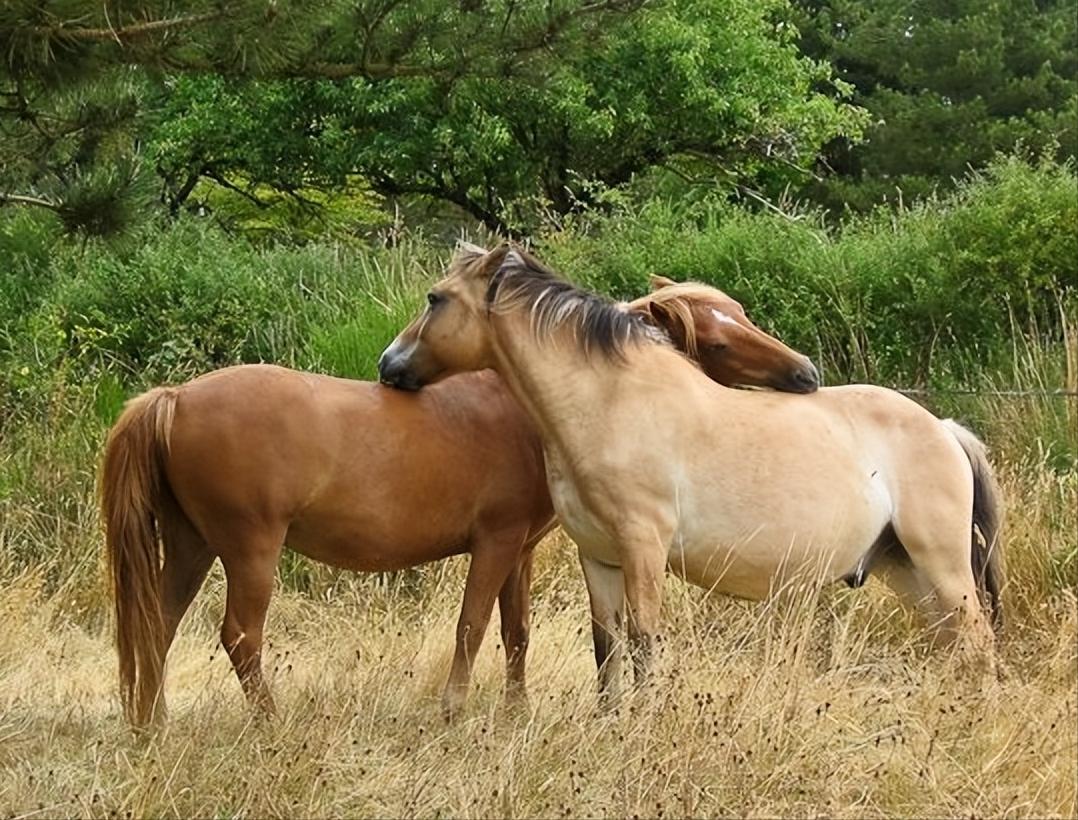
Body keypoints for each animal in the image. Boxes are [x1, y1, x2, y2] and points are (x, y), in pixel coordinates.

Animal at [101, 275, 814, 728]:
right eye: (717, 341)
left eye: (742, 313)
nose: (805, 373)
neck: (534, 409)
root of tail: (173, 398)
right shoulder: (495, 542)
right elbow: (472, 626)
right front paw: (457, 711)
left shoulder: (521, 549)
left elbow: (516, 632)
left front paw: (516, 712)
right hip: (250, 551)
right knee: (240, 637)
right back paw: (270, 724)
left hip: (191, 544)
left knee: (157, 623)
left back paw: (152, 725)